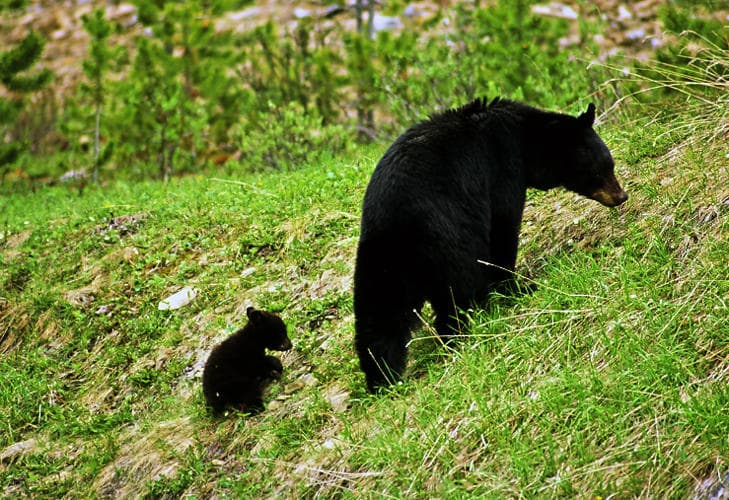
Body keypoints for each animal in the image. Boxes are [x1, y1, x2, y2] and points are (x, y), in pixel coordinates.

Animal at [353, 97, 628, 393]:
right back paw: (464, 330)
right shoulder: (501, 168)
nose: (621, 196)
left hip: (379, 259)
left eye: (610, 164)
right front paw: (516, 287)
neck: (525, 140)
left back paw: (382, 378)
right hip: (446, 237)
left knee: (379, 318)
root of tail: (397, 226)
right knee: (459, 288)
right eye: (601, 169)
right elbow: (503, 227)